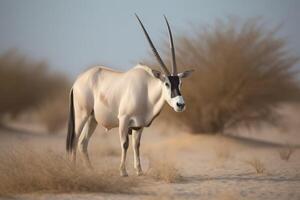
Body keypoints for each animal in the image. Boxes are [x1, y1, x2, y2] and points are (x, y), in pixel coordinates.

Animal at [65, 14, 193, 177]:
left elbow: (136, 145)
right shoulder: (124, 120)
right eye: (166, 84)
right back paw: (73, 170)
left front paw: (139, 170)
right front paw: (123, 171)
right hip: (81, 115)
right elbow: (125, 144)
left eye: (180, 83)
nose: (180, 104)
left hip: (92, 119)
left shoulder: (139, 125)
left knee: (82, 143)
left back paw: (90, 170)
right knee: (74, 140)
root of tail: (77, 82)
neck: (147, 90)